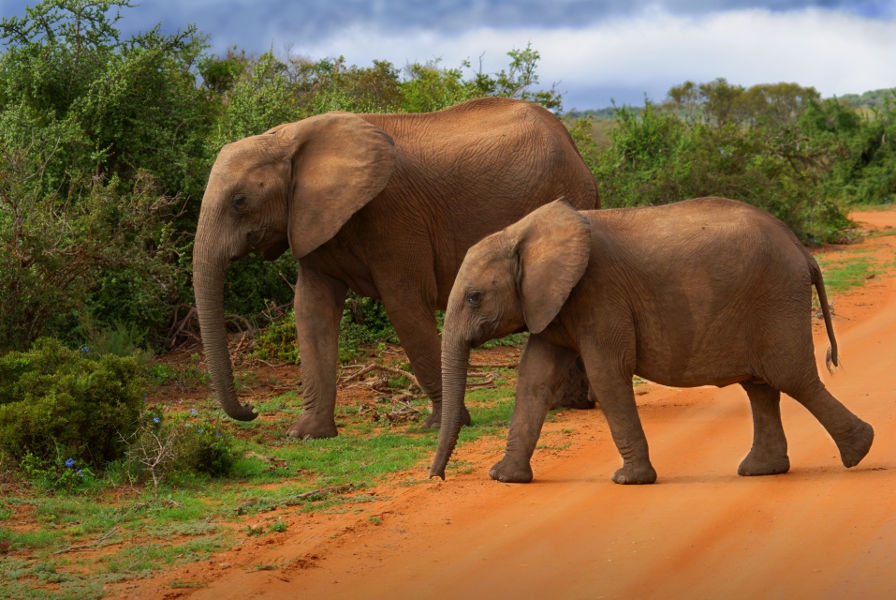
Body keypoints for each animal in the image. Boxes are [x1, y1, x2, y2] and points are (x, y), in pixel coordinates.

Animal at [197, 96, 600, 438]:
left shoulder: (393, 214)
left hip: (567, 194)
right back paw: (570, 405)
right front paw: (307, 434)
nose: (251, 410)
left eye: (239, 202)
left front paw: (441, 425)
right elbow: (311, 310)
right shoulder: (312, 219)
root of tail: (573, 146)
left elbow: (404, 305)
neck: (291, 138)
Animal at [430, 199, 872, 486]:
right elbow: (533, 380)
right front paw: (505, 478)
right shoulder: (551, 304)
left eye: (474, 298)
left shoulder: (598, 295)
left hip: (776, 297)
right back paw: (761, 470)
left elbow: (607, 374)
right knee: (761, 387)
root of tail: (802, 248)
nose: (438, 477)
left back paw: (859, 451)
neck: (522, 232)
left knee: (792, 379)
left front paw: (628, 480)